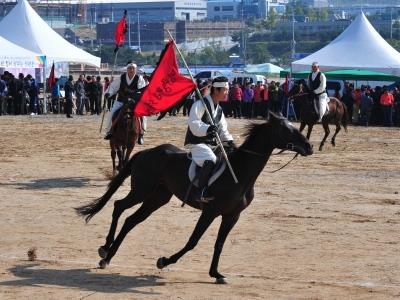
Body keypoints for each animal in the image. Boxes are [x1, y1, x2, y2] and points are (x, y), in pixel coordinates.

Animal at [75, 112, 312, 284]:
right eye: (285, 129)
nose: (309, 146)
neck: (239, 172)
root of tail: (146, 153)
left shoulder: (231, 216)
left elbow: (219, 244)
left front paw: (216, 273)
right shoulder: (210, 212)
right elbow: (193, 241)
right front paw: (164, 261)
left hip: (157, 198)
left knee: (130, 220)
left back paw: (108, 254)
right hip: (141, 191)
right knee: (118, 206)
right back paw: (105, 251)